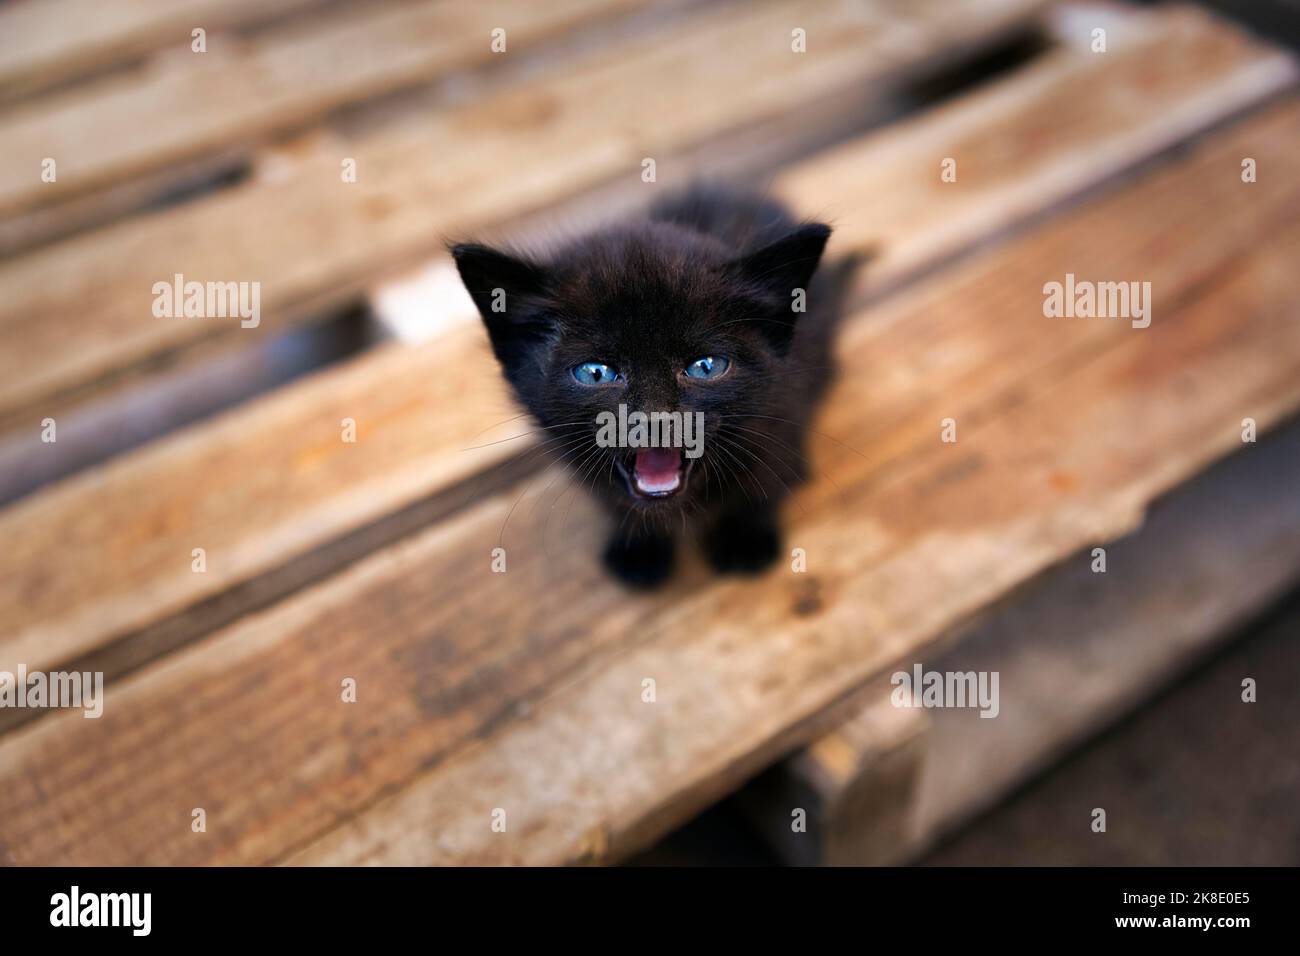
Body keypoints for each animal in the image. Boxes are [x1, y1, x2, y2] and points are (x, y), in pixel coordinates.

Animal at [452, 185, 857, 587]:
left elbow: (765, 474)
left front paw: (745, 538)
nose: (655, 421)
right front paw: (639, 546)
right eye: (595, 373)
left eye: (705, 366)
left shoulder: (784, 401)